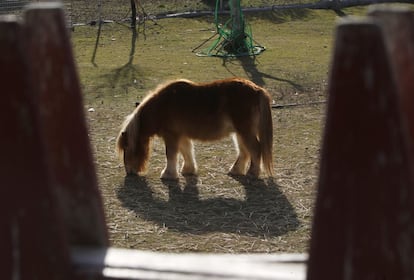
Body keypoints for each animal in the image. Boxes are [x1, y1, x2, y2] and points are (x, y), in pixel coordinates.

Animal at [116, 77, 274, 180]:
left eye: (126, 147)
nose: (129, 172)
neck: (162, 106)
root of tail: (257, 90)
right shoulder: (181, 135)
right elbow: (186, 151)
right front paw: (188, 170)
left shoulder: (171, 136)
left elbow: (171, 154)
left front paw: (168, 174)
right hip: (240, 133)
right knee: (244, 152)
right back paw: (236, 170)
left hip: (245, 131)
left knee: (255, 149)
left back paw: (252, 173)